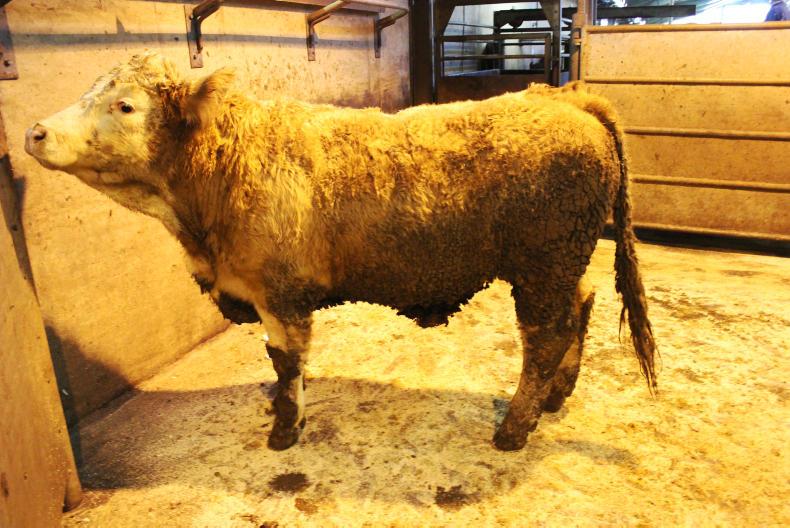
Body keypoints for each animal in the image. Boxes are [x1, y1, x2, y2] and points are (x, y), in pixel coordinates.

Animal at [25, 53, 657, 451]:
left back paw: (514, 427)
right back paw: (555, 397)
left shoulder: (279, 293)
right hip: (561, 264)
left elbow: (286, 361)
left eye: (126, 106)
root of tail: (565, 97)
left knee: (544, 339)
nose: (34, 132)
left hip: (542, 266)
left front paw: (285, 430)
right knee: (582, 306)